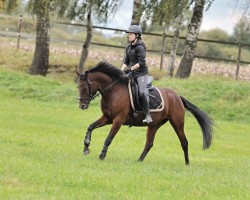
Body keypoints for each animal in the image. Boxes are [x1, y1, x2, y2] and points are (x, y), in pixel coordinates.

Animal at [76, 61, 213, 165]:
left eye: (85, 87)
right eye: (78, 87)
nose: (82, 106)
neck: (113, 91)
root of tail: (177, 97)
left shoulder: (118, 120)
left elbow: (109, 138)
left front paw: (102, 155)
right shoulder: (107, 118)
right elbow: (91, 127)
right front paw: (86, 147)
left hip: (177, 123)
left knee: (184, 142)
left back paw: (187, 163)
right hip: (154, 125)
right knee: (149, 144)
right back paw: (139, 161)